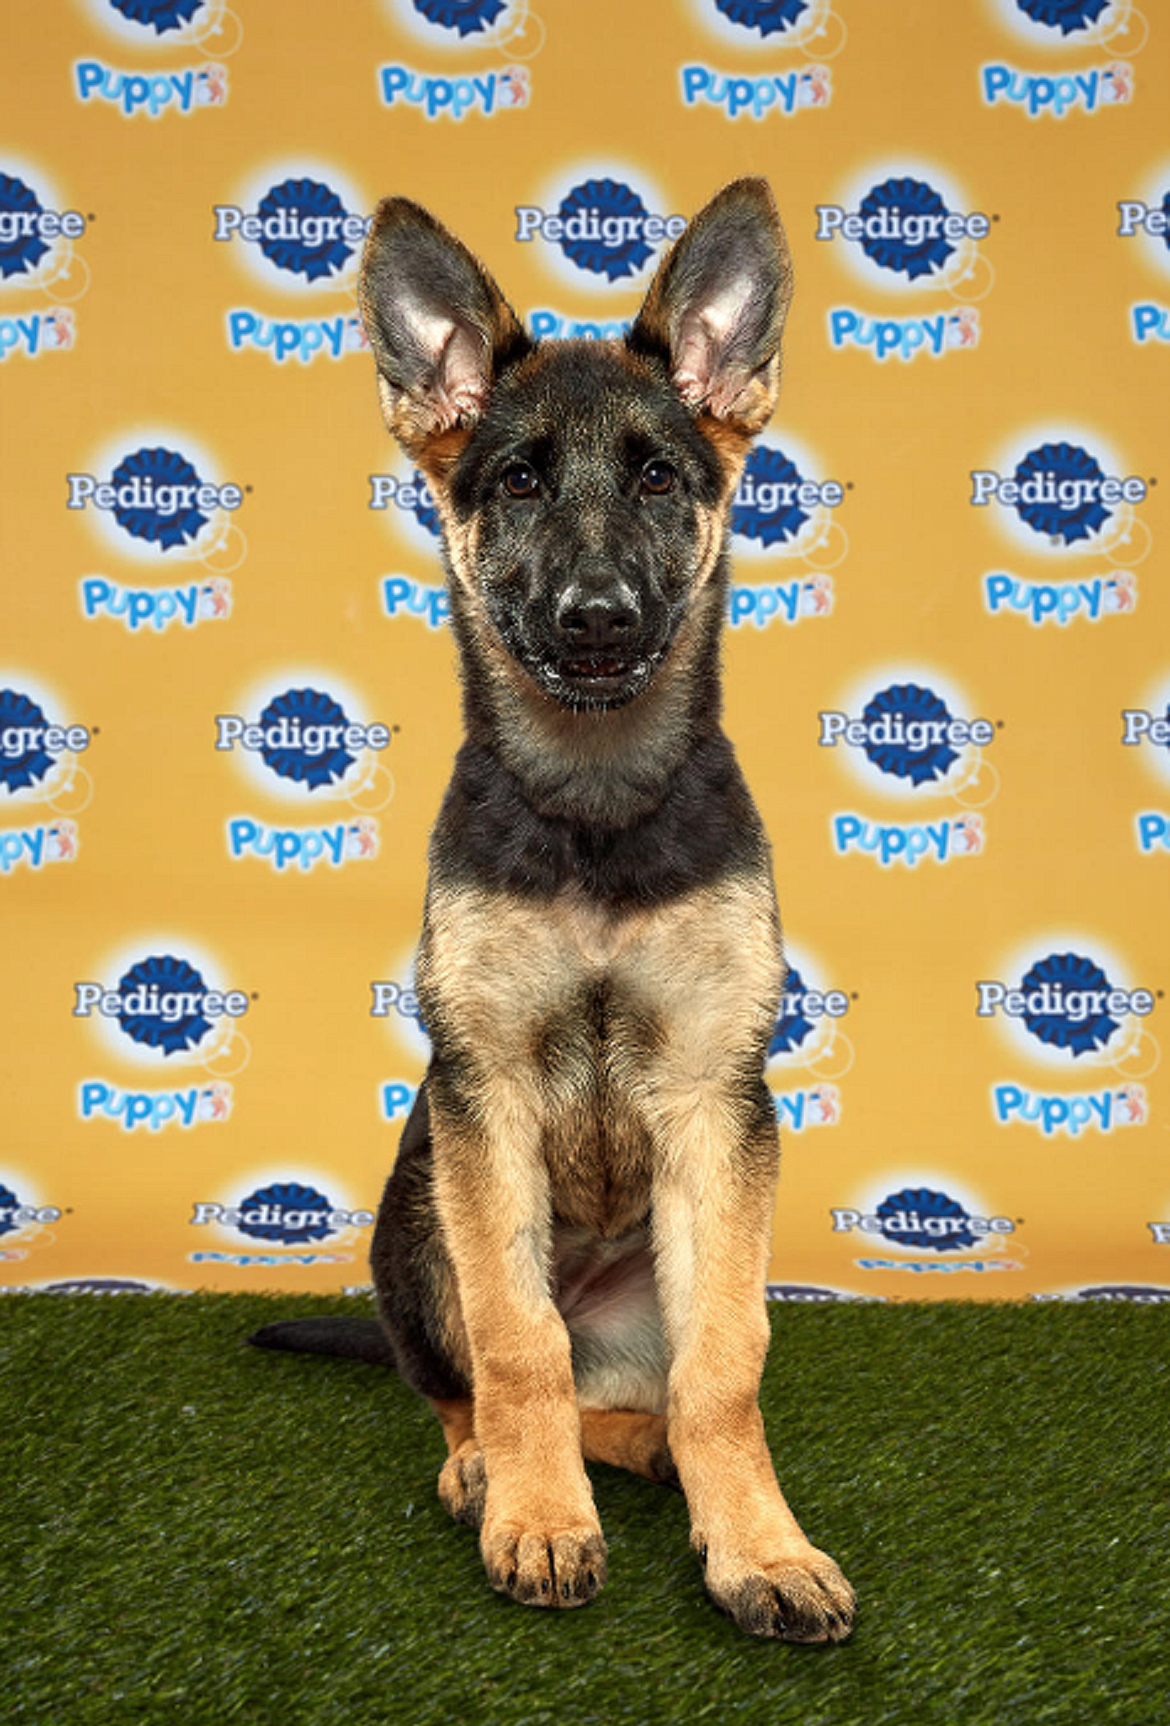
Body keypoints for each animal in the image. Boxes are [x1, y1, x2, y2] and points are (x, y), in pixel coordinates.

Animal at [251, 178, 855, 1643]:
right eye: (518, 480)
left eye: (658, 477)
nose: (594, 619)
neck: (593, 807)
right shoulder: (486, 1092)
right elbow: (516, 1344)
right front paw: (535, 1517)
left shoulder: (716, 1100)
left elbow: (726, 1365)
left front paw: (758, 1543)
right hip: (419, 1212)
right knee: (487, 1377)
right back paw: (492, 1468)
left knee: (632, 1398)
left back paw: (658, 1463)